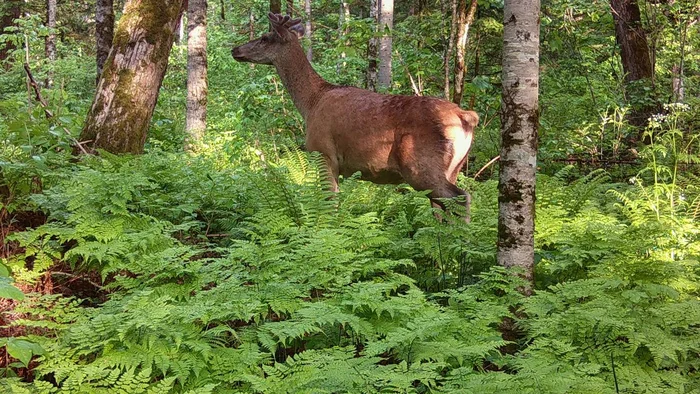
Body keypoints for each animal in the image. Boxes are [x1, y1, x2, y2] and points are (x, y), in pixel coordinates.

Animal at [232, 13, 478, 222]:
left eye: (265, 37)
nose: (235, 49)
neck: (311, 102)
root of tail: (466, 117)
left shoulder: (323, 152)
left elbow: (330, 203)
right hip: (454, 168)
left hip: (421, 165)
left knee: (460, 198)